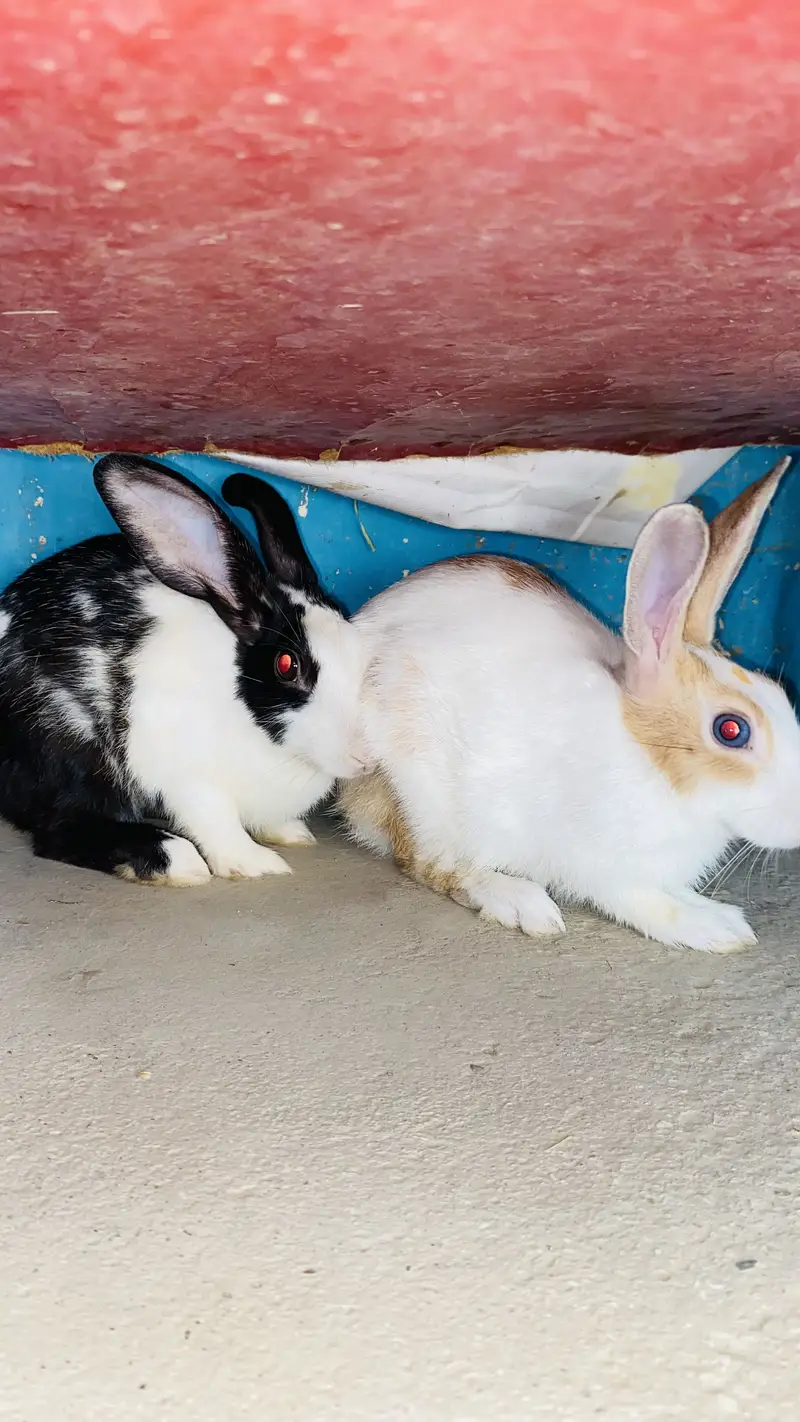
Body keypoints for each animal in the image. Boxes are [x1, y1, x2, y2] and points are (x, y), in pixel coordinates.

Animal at [0, 455, 369, 884]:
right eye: (286, 665)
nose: (364, 756)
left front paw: (291, 834)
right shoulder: (191, 781)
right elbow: (218, 823)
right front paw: (257, 864)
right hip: (70, 739)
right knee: (61, 828)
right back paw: (174, 860)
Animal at [339, 455, 800, 952]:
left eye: (781, 696)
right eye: (731, 730)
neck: (651, 764)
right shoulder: (603, 867)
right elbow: (643, 902)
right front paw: (716, 929)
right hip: (422, 790)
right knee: (430, 865)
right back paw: (522, 903)